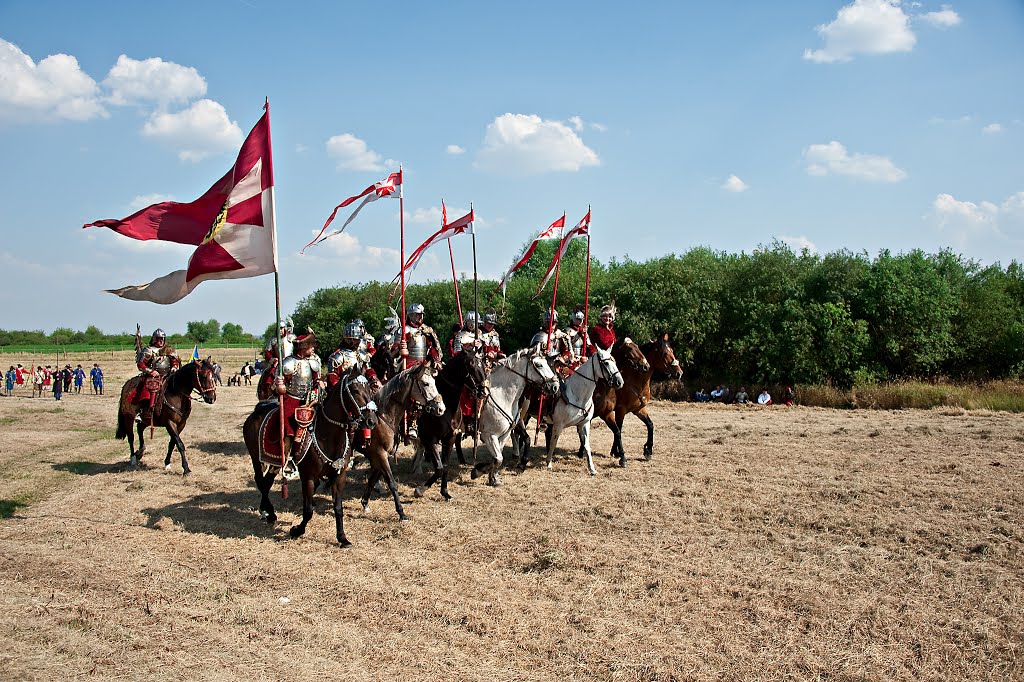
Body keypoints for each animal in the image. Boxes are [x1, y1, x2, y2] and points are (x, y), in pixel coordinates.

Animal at [241, 368, 378, 544]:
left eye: (369, 389)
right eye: (354, 390)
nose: (371, 420)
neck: (327, 434)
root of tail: (256, 412)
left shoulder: (339, 475)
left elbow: (338, 508)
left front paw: (342, 538)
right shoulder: (308, 476)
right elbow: (308, 510)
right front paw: (296, 530)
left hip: (275, 462)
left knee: (267, 482)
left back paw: (269, 513)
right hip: (255, 458)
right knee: (260, 481)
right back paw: (268, 512)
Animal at [411, 346, 487, 499]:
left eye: (482, 363)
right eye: (471, 365)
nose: (483, 391)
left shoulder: (450, 438)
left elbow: (444, 466)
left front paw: (445, 492)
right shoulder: (430, 439)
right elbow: (439, 468)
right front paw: (420, 489)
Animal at [471, 346, 561, 483]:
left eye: (552, 365)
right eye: (539, 365)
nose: (555, 386)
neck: (502, 395)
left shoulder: (506, 432)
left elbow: (498, 457)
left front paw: (492, 477)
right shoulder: (489, 435)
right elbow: (499, 458)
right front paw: (479, 471)